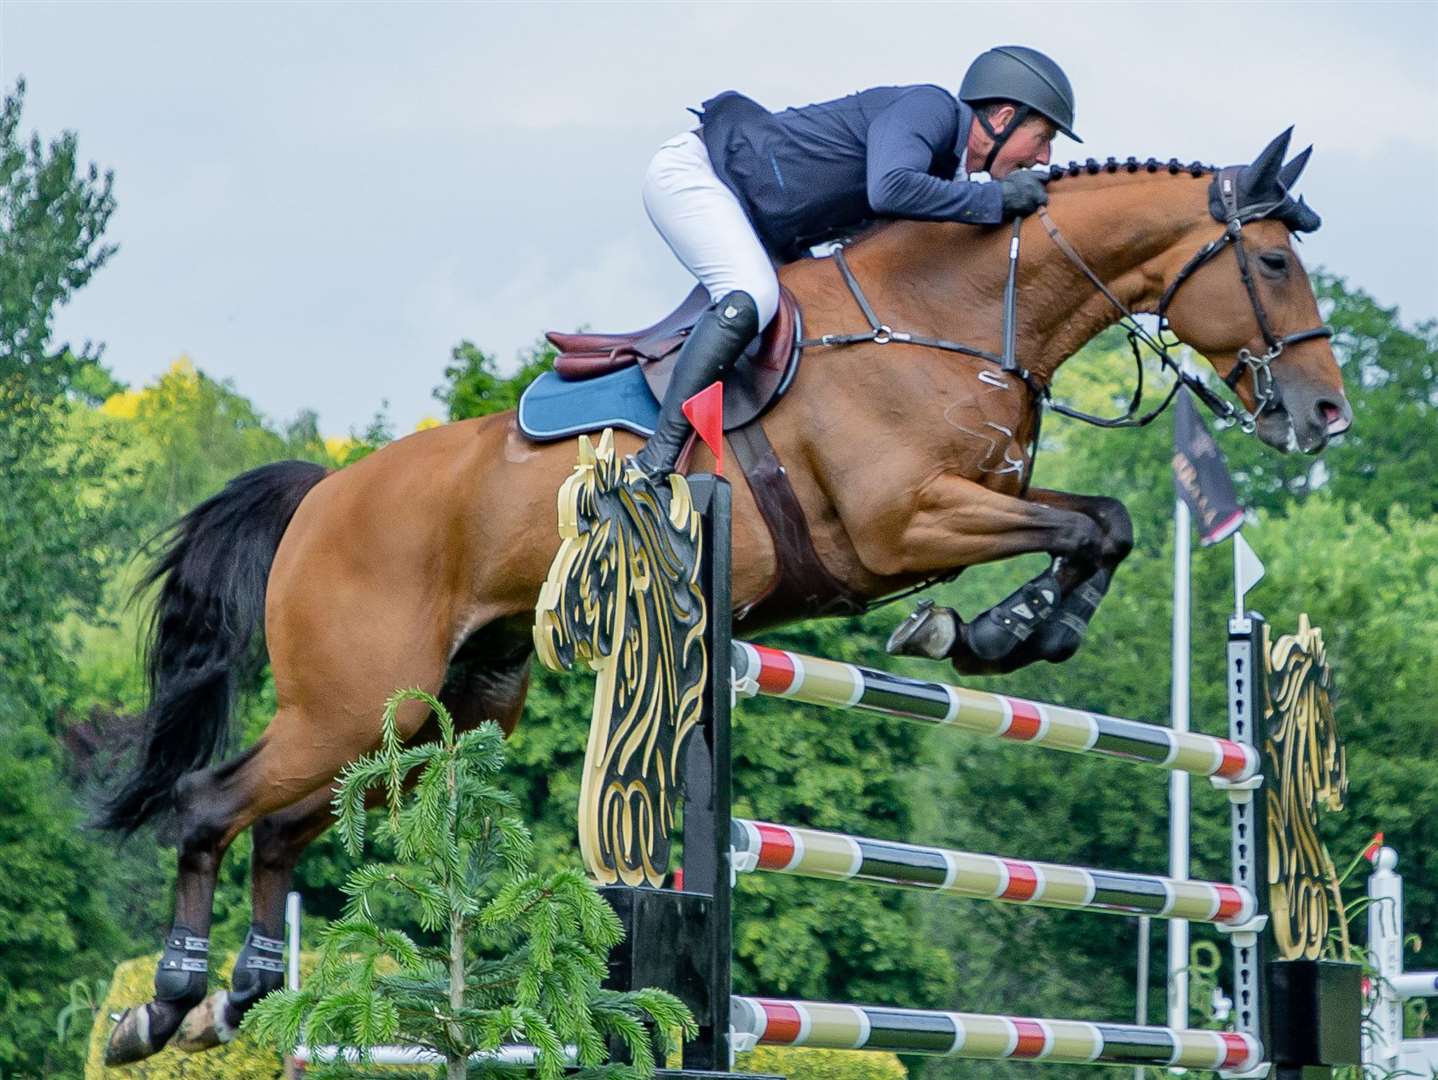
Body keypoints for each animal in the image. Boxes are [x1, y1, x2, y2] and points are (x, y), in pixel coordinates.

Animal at [101, 128, 1345, 1064]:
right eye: (1273, 264)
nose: (1323, 415)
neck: (948, 316)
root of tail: (324, 492)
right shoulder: (906, 523)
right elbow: (1085, 526)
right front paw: (986, 627)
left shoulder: (969, 504)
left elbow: (1105, 522)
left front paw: (1012, 628)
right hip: (361, 701)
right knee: (210, 807)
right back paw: (165, 1004)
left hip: (443, 717)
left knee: (282, 826)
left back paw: (244, 995)